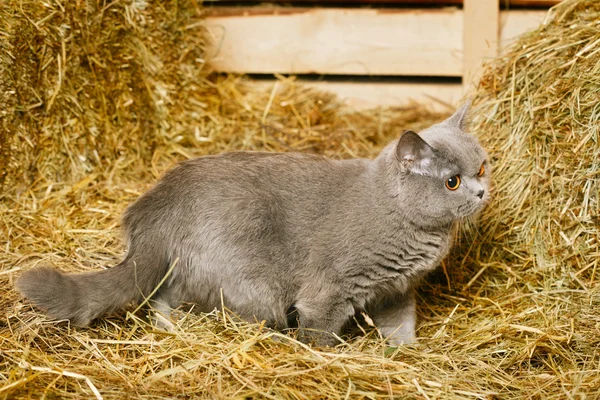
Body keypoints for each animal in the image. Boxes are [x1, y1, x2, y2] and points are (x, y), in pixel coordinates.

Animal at [16, 103, 490, 346]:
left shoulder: (396, 289)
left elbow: (401, 326)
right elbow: (321, 334)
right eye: (452, 181)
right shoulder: (329, 292)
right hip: (255, 282)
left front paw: (403, 354)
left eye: (482, 166)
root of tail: (156, 208)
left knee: (161, 299)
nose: (482, 191)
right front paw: (331, 357)